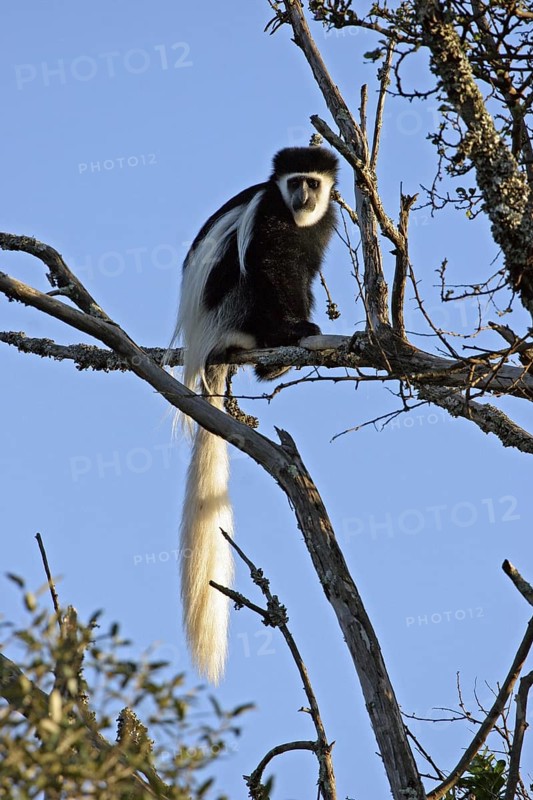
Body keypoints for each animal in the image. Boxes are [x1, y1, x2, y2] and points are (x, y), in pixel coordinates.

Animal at [169, 146, 338, 682]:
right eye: (293, 182)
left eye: (312, 182)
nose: (303, 196)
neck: (295, 217)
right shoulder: (267, 216)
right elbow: (269, 266)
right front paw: (297, 330)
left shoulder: (320, 227)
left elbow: (303, 271)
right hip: (228, 307)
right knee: (247, 275)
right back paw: (268, 341)